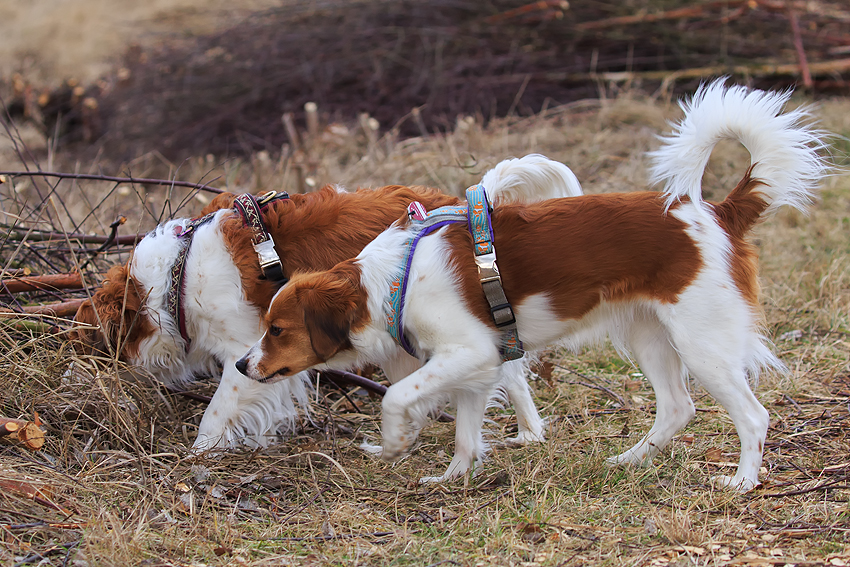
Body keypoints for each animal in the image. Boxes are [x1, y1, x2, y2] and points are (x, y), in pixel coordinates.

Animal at [71, 158, 584, 454]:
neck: (177, 276)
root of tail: (461, 205)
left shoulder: (246, 349)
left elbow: (217, 412)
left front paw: (201, 456)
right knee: (506, 370)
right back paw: (527, 432)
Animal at [238, 82, 828, 490]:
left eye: (277, 329)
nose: (242, 365)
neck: (394, 282)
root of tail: (715, 212)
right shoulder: (478, 367)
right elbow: (465, 433)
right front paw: (452, 476)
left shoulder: (469, 352)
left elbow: (400, 397)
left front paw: (395, 442)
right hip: (649, 336)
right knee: (678, 407)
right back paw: (630, 459)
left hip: (702, 342)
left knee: (752, 415)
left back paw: (743, 481)